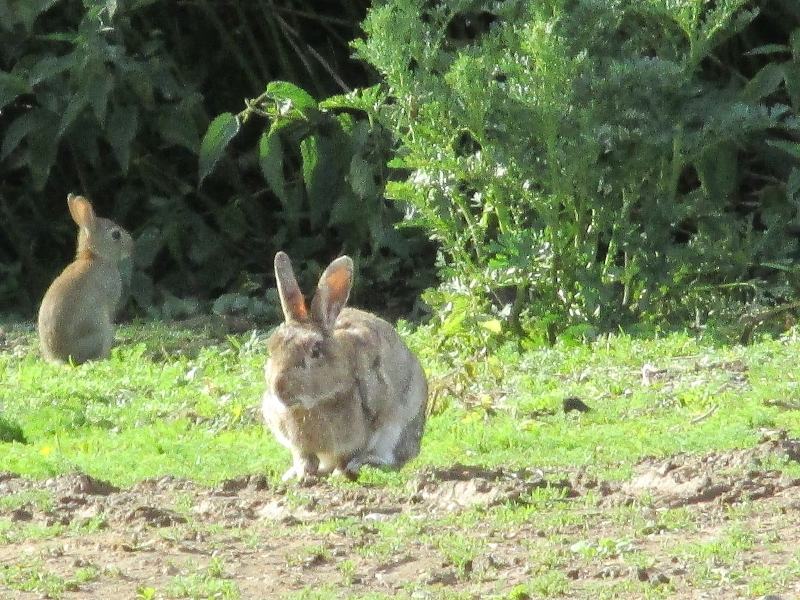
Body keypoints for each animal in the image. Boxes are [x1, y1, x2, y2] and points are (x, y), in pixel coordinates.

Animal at [262, 251, 428, 482]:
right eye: (271, 349)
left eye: (315, 351)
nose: (279, 388)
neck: (313, 405)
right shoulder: (298, 445)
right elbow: (304, 457)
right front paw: (303, 475)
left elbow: (348, 456)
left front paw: (340, 474)